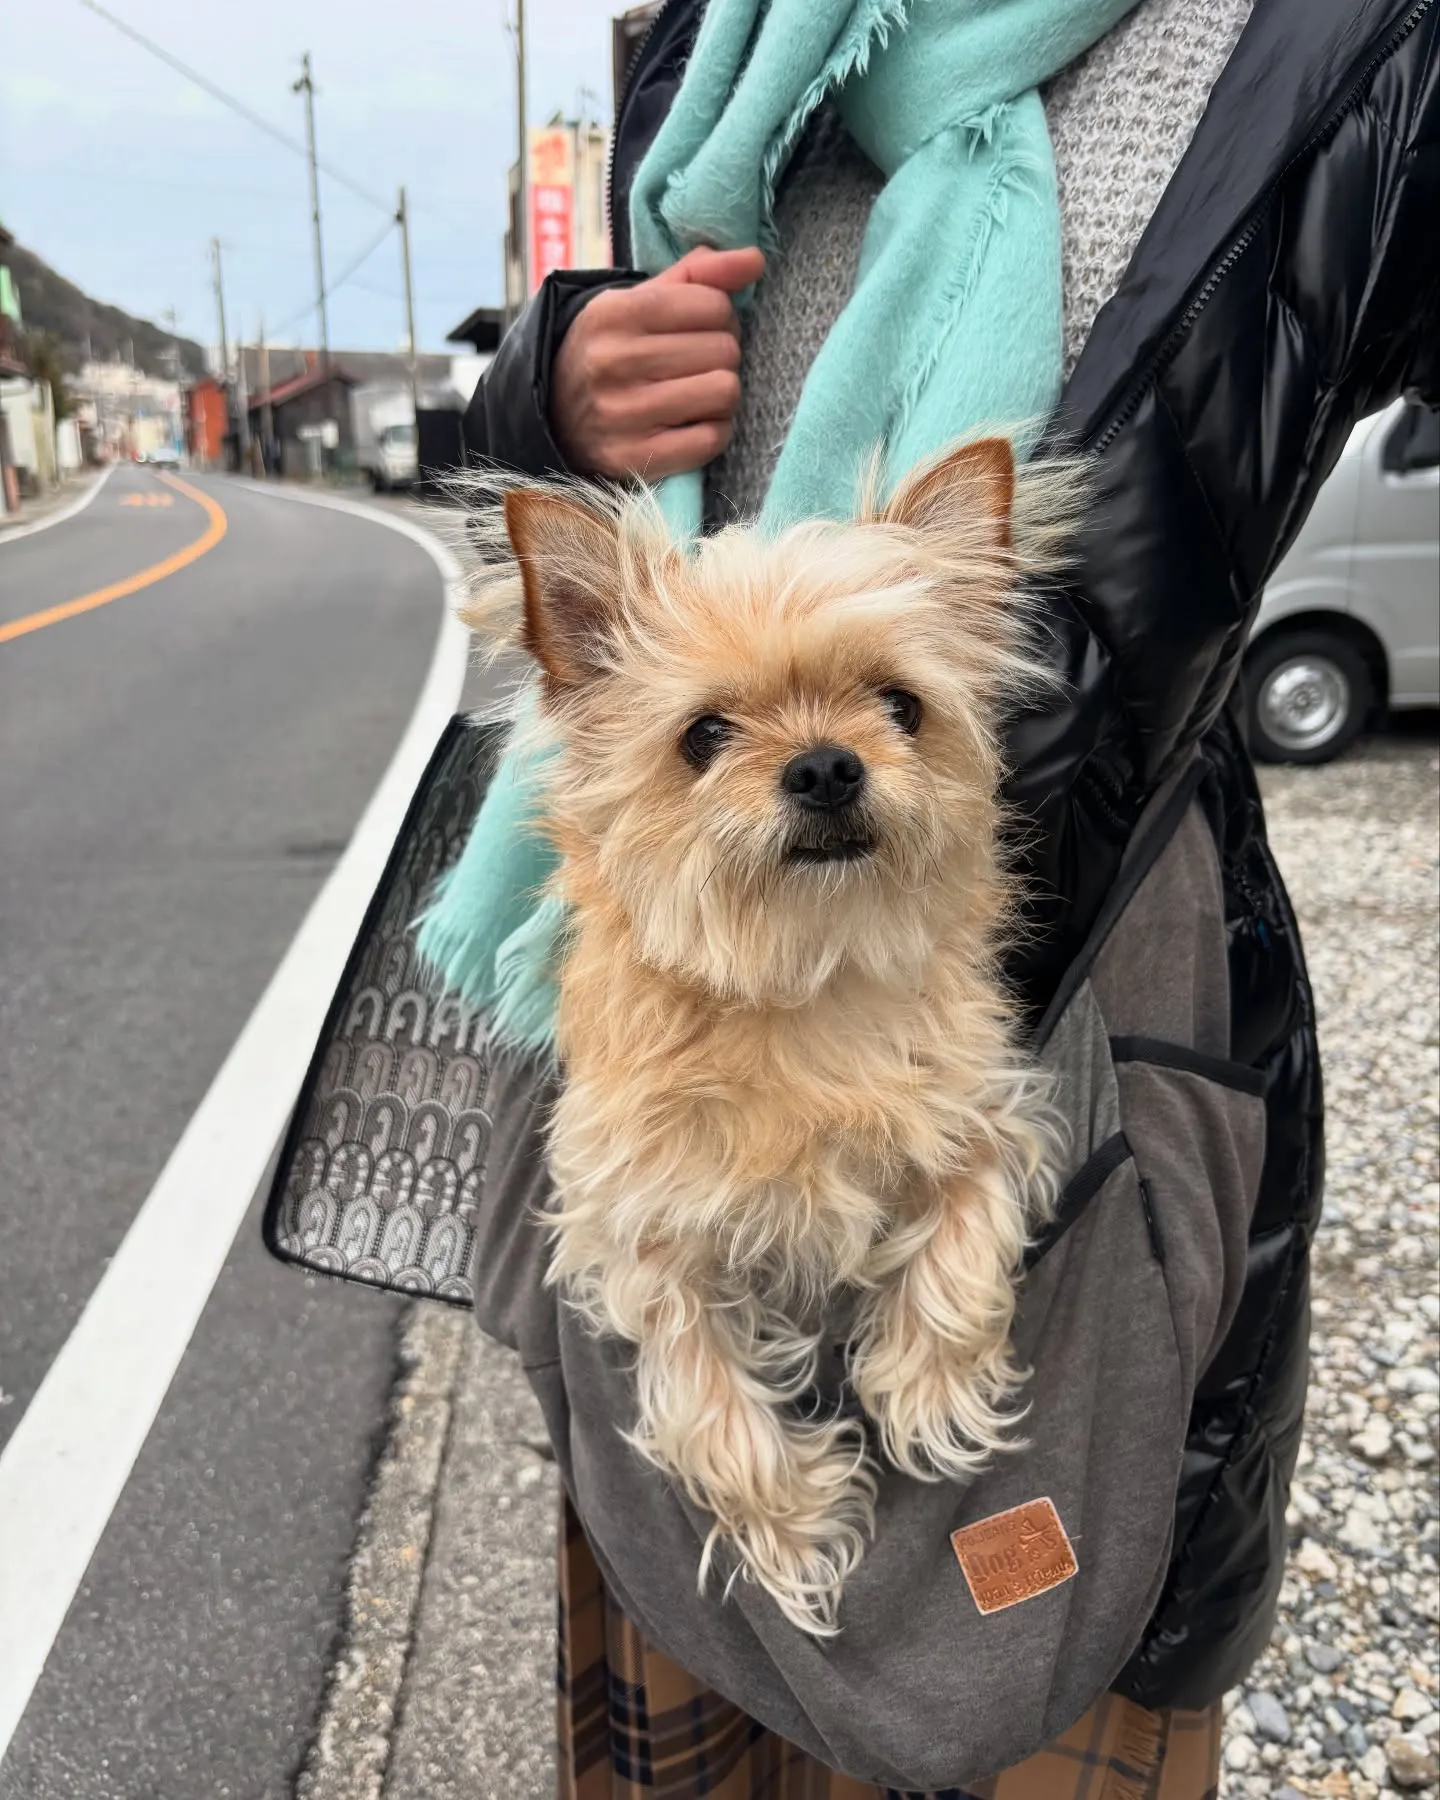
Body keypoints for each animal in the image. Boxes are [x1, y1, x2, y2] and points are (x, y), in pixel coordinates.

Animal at [460, 442, 1080, 1641]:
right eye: (704, 735)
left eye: (901, 706)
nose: (829, 765)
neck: (801, 986)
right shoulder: (641, 1241)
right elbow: (710, 1407)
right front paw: (795, 1532)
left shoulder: (987, 1118)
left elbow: (963, 1247)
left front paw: (929, 1392)